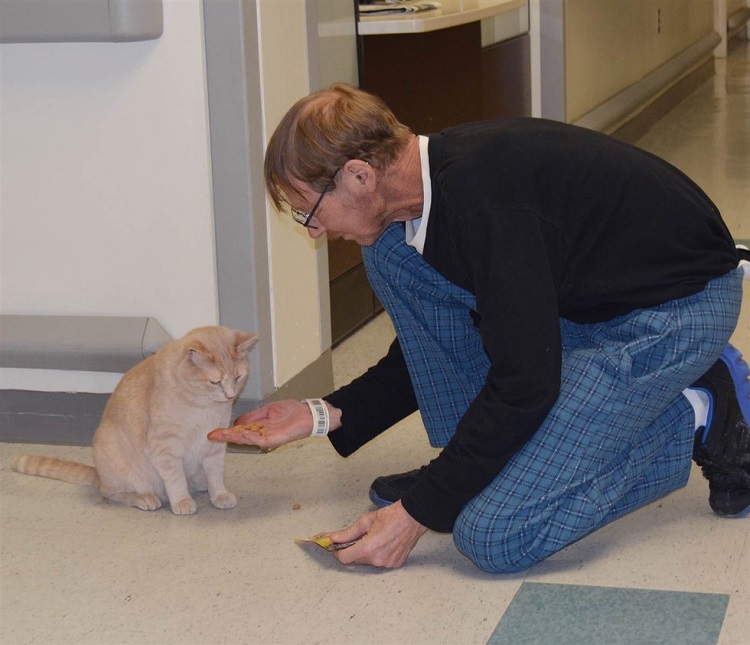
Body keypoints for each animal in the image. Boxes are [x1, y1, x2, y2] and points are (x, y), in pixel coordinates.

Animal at [11, 324, 258, 516]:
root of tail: (99, 475)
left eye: (238, 377)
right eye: (215, 382)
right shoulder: (164, 447)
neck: (202, 407)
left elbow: (215, 474)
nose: (230, 396)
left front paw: (220, 494)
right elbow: (175, 478)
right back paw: (146, 498)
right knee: (112, 493)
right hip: (118, 464)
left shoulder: (214, 444)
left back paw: (200, 485)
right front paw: (181, 501)